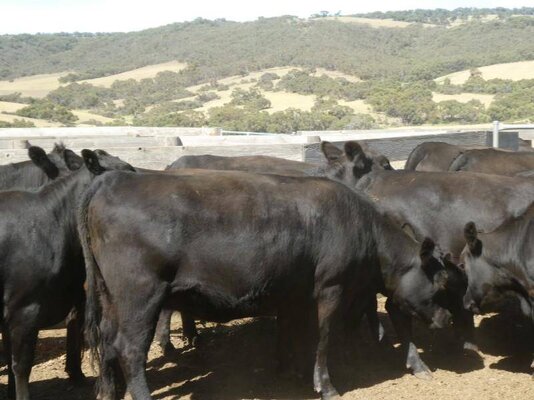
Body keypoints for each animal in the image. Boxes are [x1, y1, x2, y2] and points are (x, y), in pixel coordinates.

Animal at [81, 170, 458, 398]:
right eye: (440, 284)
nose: (448, 319)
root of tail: (114, 179)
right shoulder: (331, 289)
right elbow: (323, 338)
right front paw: (325, 385)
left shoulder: (293, 293)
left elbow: (288, 334)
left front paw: (287, 371)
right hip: (140, 296)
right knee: (130, 349)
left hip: (110, 297)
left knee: (109, 343)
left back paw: (108, 392)